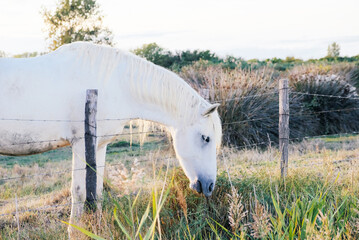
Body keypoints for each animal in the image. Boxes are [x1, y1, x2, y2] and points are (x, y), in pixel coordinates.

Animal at [0, 41, 222, 229]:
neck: (116, 85)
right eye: (206, 138)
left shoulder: (99, 146)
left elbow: (96, 192)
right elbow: (78, 194)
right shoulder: (80, 145)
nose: (210, 186)